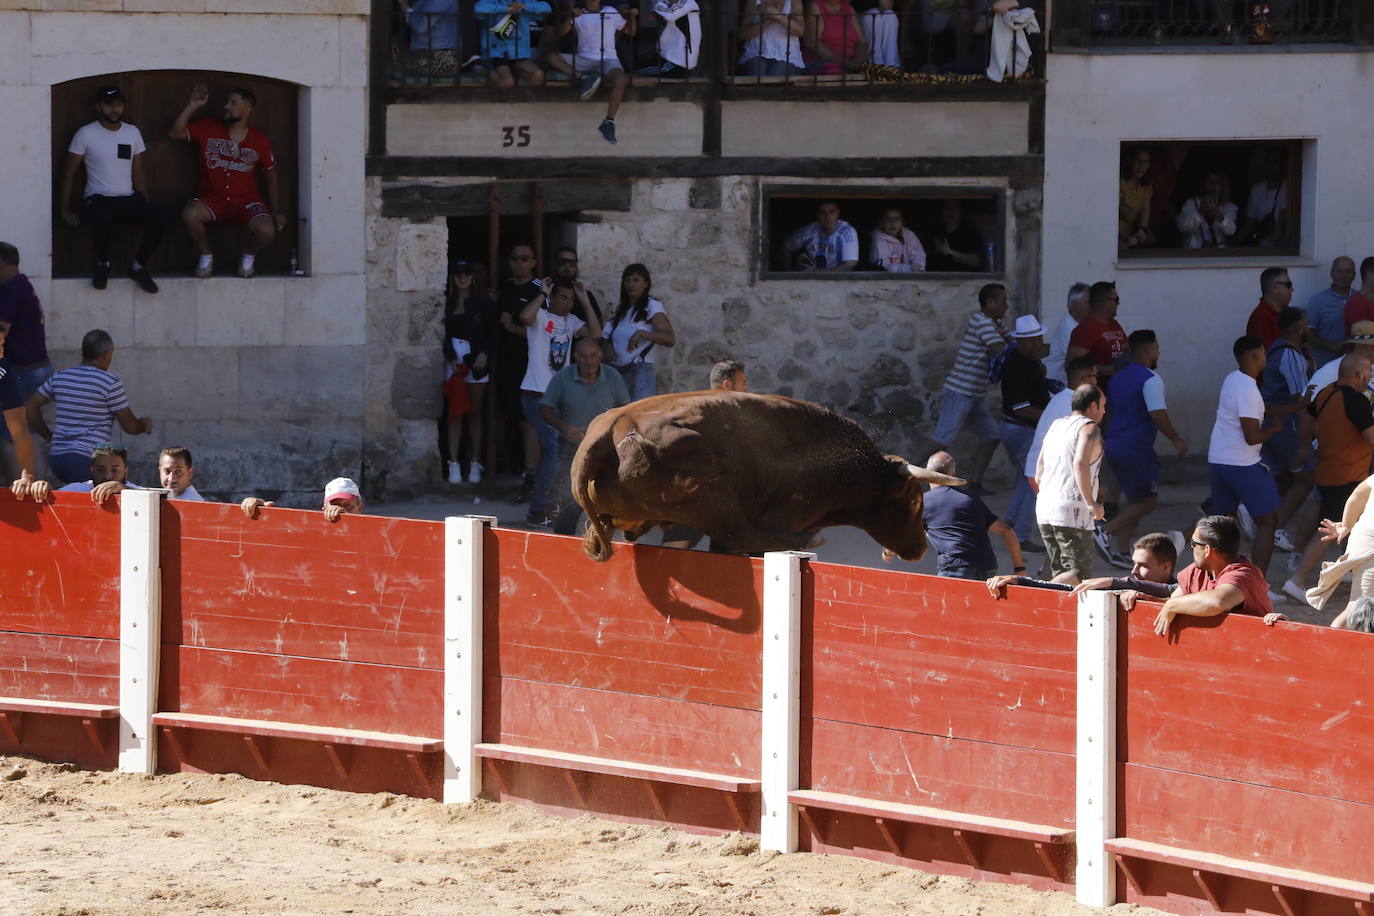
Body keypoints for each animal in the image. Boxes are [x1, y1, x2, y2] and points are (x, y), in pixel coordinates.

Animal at [568, 390, 967, 563]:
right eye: (914, 500)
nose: (919, 549)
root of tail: (611, 428)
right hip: (713, 494)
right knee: (738, 533)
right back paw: (804, 540)